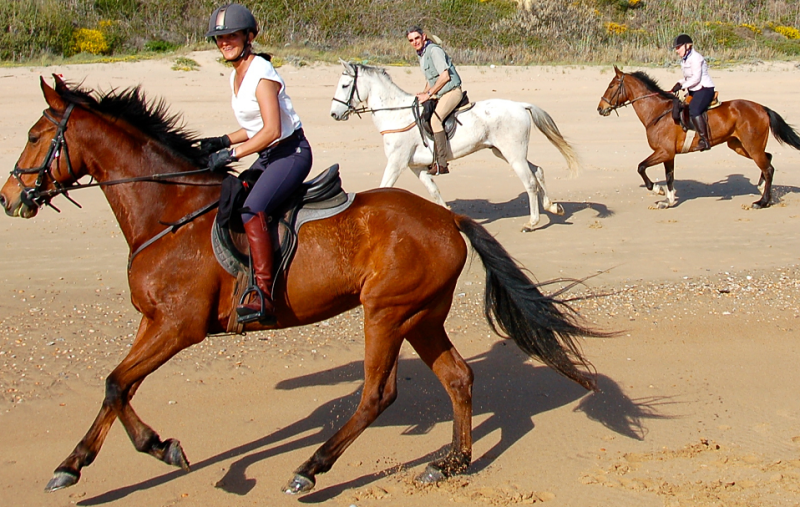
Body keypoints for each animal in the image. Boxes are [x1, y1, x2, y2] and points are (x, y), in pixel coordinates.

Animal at [328, 60, 580, 232]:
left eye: (345, 85)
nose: (333, 114)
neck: (396, 115)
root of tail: (520, 105)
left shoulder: (396, 162)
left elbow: (383, 187)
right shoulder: (415, 167)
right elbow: (434, 191)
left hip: (513, 154)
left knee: (529, 182)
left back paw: (532, 222)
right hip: (503, 152)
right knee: (538, 171)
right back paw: (553, 207)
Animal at [596, 66, 796, 209]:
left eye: (611, 86)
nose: (600, 108)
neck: (657, 112)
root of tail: (762, 108)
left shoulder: (664, 152)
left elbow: (641, 167)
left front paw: (657, 190)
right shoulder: (668, 155)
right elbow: (669, 177)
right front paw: (668, 200)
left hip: (751, 146)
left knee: (768, 168)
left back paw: (762, 202)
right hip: (739, 146)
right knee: (768, 159)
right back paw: (761, 189)